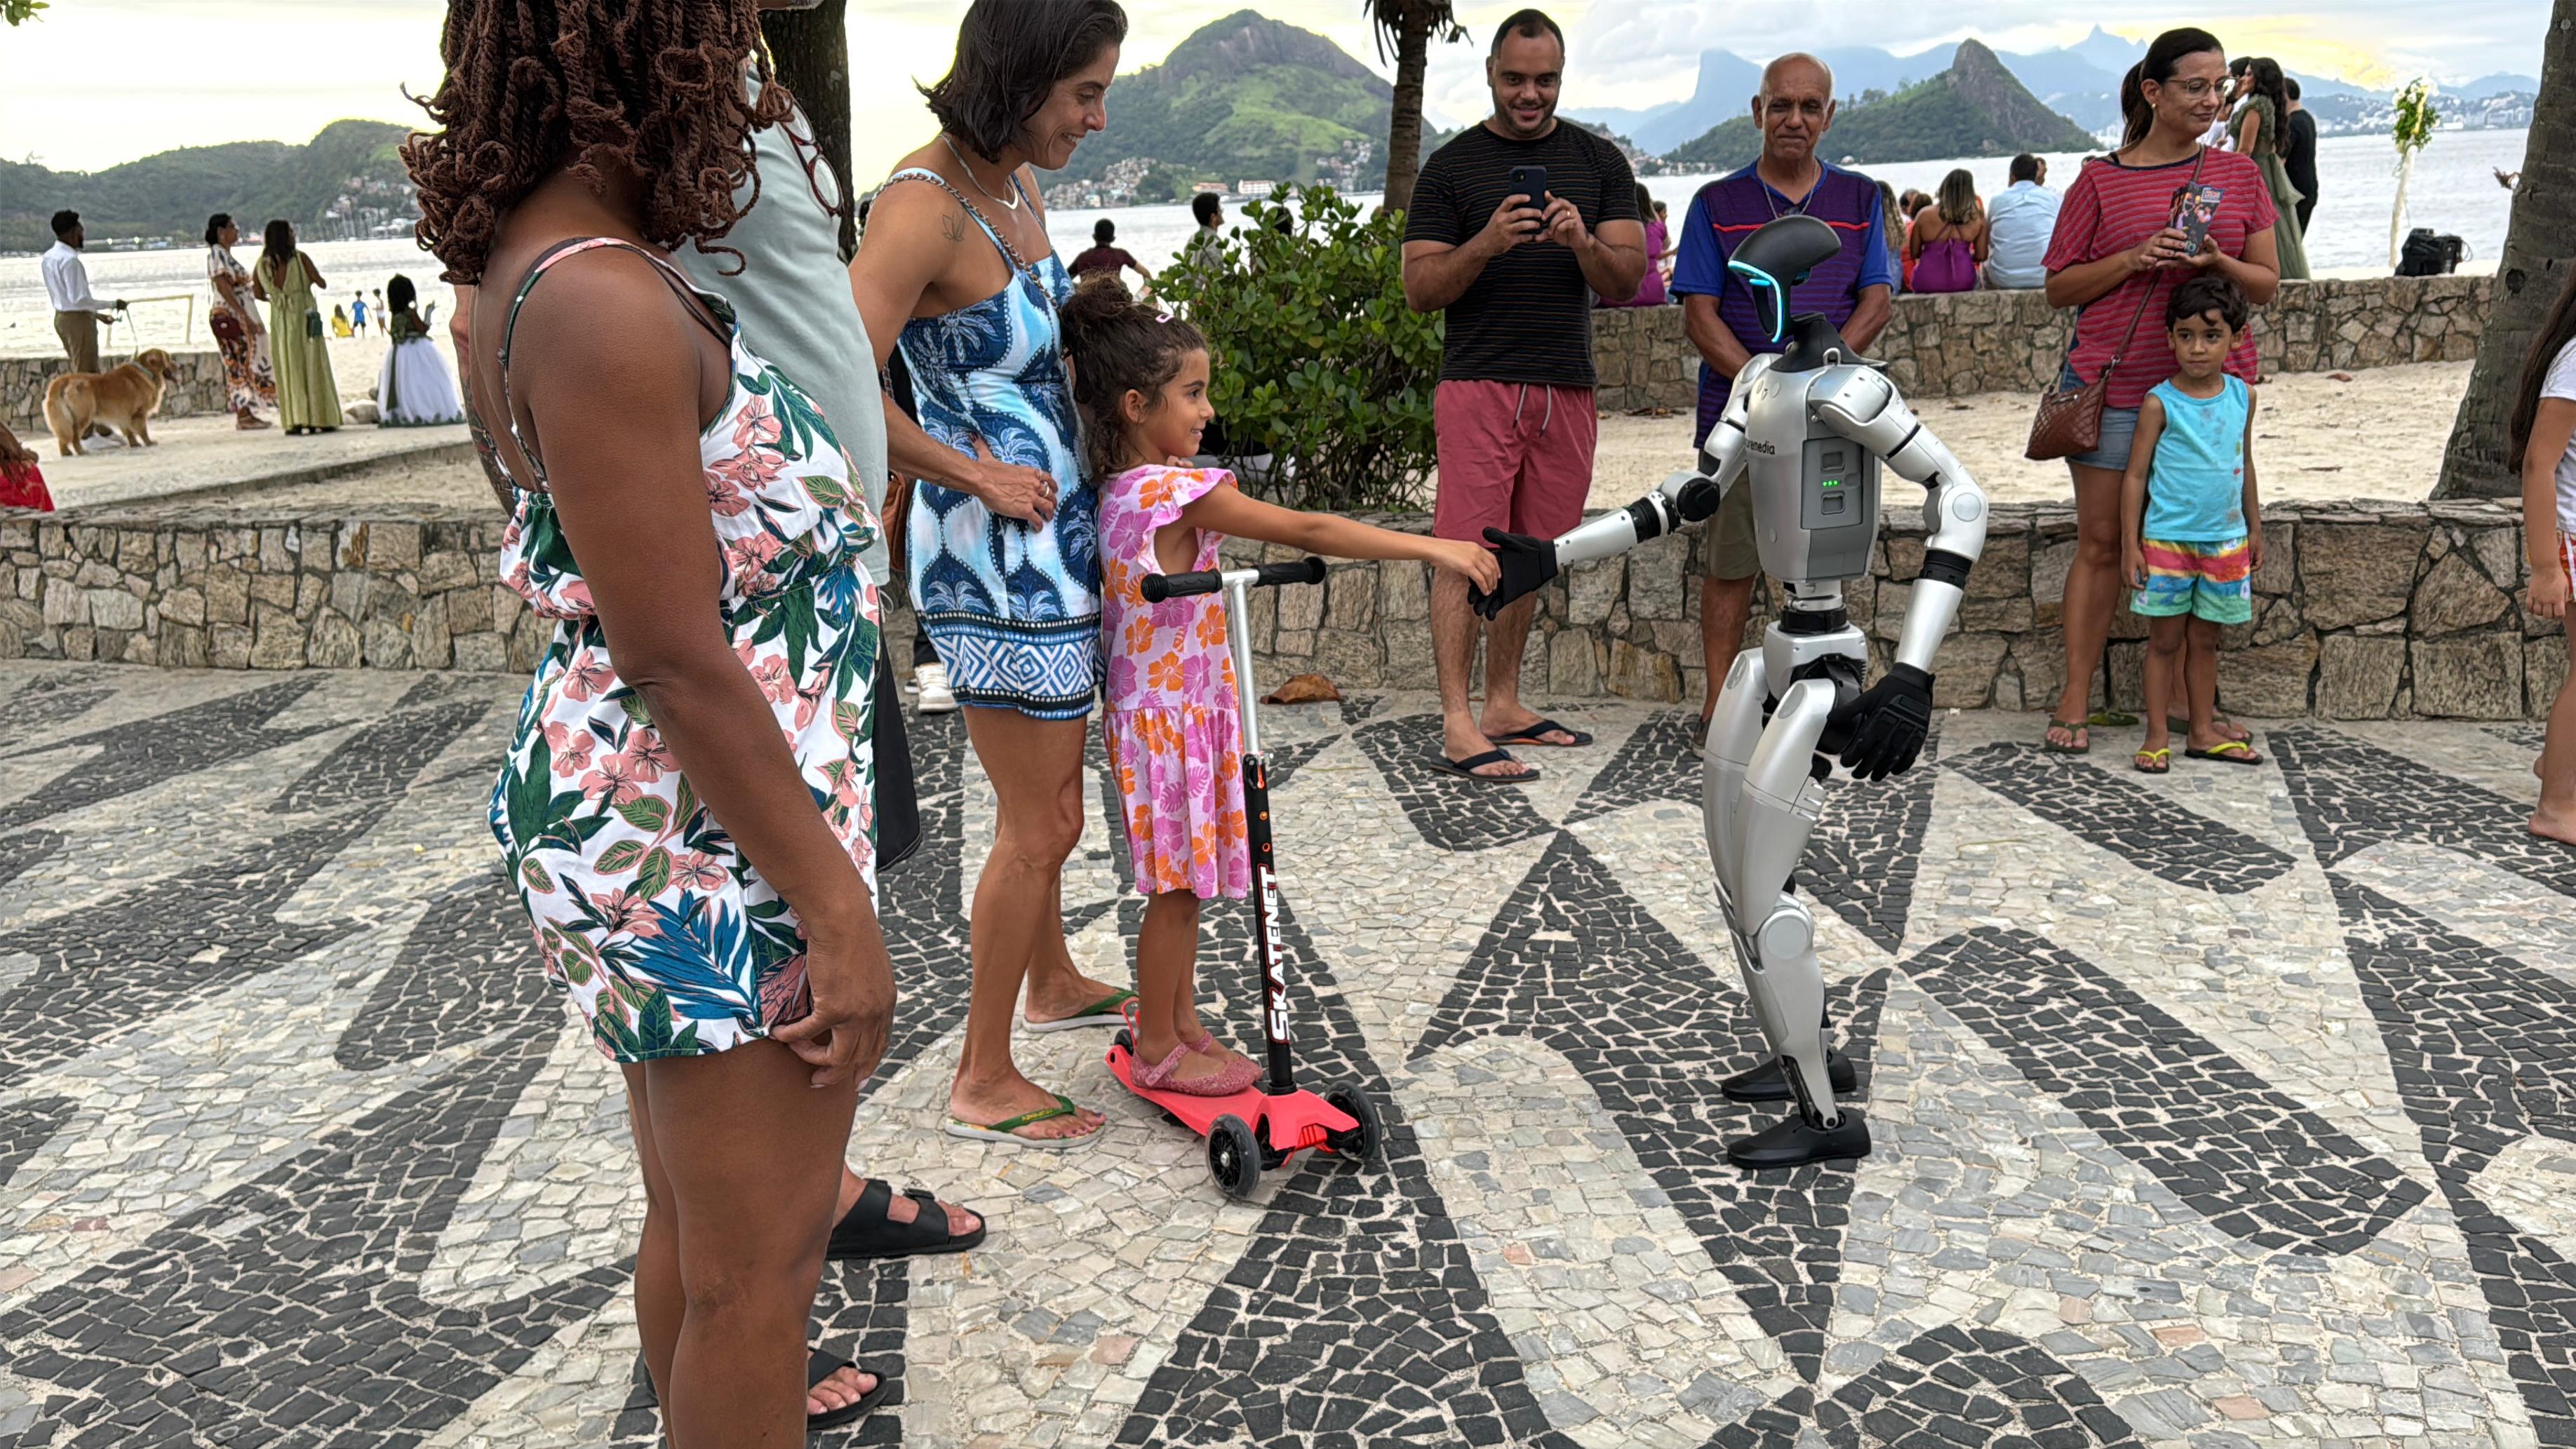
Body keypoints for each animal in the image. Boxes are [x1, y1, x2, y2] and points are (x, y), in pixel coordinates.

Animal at [42, 347, 179, 455]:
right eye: (168, 358)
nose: (180, 366)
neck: (146, 371)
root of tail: (64, 379)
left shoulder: (123, 414)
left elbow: (129, 431)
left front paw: (134, 444)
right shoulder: (139, 412)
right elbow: (143, 430)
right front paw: (149, 442)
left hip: (63, 419)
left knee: (62, 436)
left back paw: (66, 453)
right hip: (83, 415)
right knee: (75, 436)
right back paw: (81, 451)